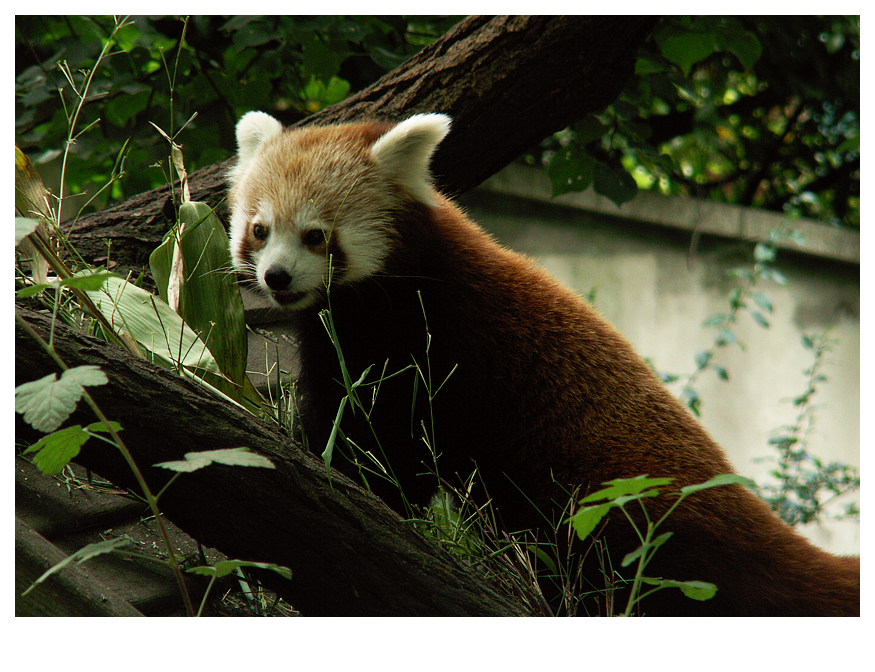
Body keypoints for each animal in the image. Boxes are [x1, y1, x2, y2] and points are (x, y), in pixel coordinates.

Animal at [228, 111, 864, 620]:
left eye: (316, 236)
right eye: (260, 229)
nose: (277, 277)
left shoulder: (429, 347)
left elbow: (388, 445)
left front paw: (358, 483)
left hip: (631, 517)